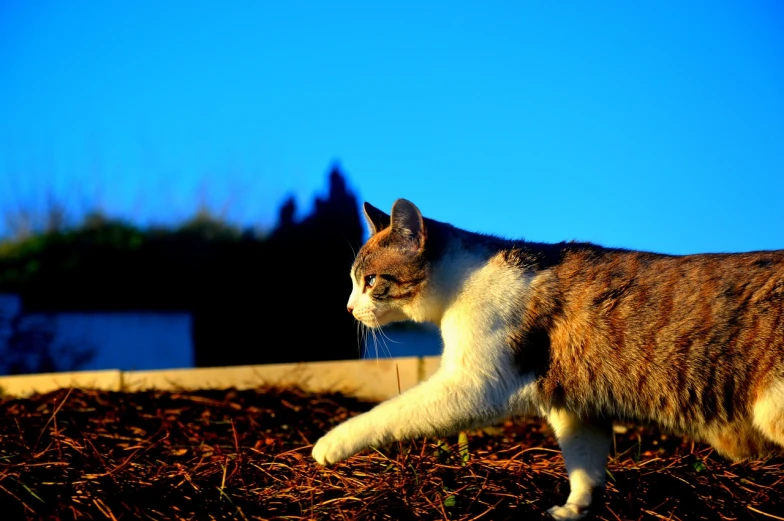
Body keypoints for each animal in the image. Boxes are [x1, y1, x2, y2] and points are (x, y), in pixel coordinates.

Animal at [312, 198, 784, 516]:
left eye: (371, 281)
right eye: (353, 281)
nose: (348, 309)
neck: (462, 282)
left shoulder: (476, 385)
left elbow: (390, 412)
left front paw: (330, 443)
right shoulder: (576, 404)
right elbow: (584, 463)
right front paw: (575, 509)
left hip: (773, 407)